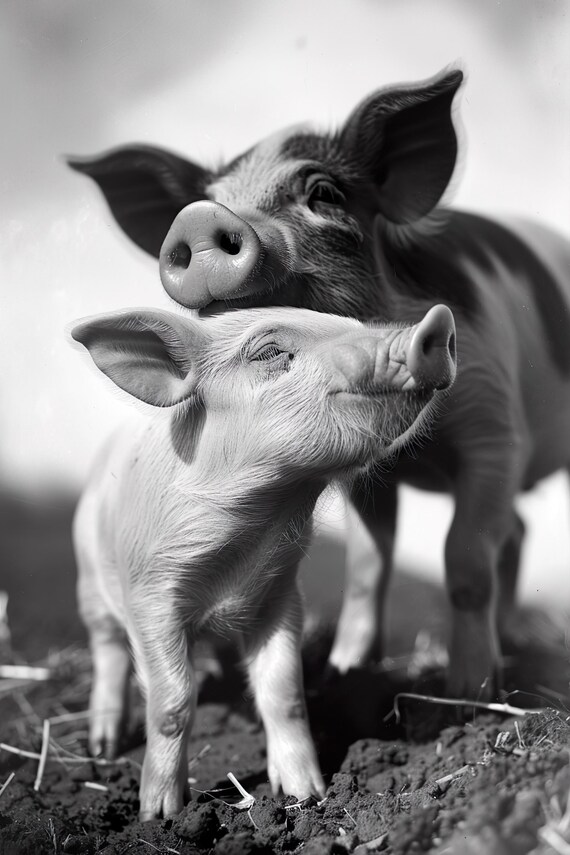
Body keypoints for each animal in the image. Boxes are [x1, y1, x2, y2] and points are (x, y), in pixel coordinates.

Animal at [68, 67, 570, 700]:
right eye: (205, 202)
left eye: (325, 194)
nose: (198, 217)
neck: (420, 452)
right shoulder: (371, 474)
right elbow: (366, 568)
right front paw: (346, 672)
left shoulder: (496, 429)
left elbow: (466, 560)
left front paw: (466, 697)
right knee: (519, 530)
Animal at [71, 304, 457, 819]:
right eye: (270, 352)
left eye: (351, 324)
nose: (437, 320)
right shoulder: (150, 597)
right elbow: (172, 703)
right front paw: (160, 815)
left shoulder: (280, 595)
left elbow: (284, 693)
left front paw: (307, 796)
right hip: (89, 581)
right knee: (108, 650)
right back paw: (103, 747)